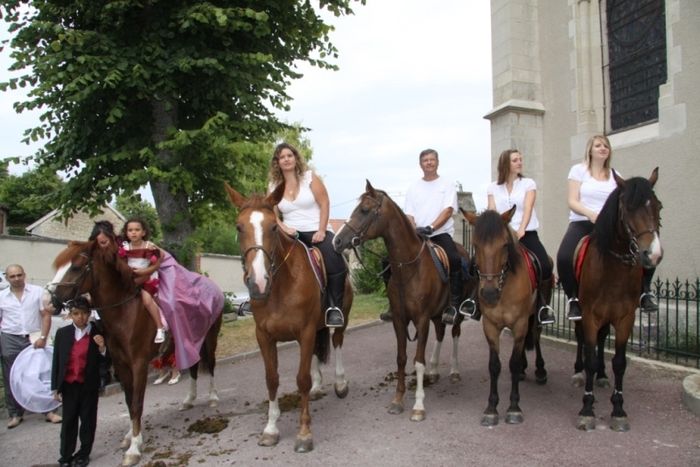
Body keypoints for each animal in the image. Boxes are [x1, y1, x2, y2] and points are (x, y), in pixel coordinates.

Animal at [226, 182, 352, 454]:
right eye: (239, 227)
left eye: (273, 227)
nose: (258, 283)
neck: (280, 286)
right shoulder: (264, 336)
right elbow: (272, 379)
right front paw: (271, 429)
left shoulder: (305, 331)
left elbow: (301, 379)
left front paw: (304, 433)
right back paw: (318, 387)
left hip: (340, 320)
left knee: (337, 343)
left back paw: (340, 384)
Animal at [332, 181, 474, 422]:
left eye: (365, 210)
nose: (338, 240)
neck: (408, 267)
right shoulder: (400, 319)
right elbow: (401, 358)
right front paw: (397, 400)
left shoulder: (422, 320)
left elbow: (418, 360)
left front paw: (418, 406)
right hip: (437, 314)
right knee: (440, 334)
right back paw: (434, 371)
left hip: (453, 314)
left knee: (454, 333)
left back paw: (454, 372)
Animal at [464, 207, 552, 426]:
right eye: (475, 245)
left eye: (504, 245)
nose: (489, 294)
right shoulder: (490, 325)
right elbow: (494, 365)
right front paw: (491, 408)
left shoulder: (520, 323)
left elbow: (512, 363)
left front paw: (513, 408)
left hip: (534, 317)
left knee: (536, 337)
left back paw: (540, 370)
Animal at [576, 167, 660, 432]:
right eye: (628, 208)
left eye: (658, 206)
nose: (653, 254)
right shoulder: (589, 315)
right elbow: (590, 358)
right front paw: (587, 409)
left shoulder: (625, 317)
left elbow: (620, 362)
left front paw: (618, 410)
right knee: (582, 341)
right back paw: (578, 373)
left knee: (603, 340)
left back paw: (602, 377)